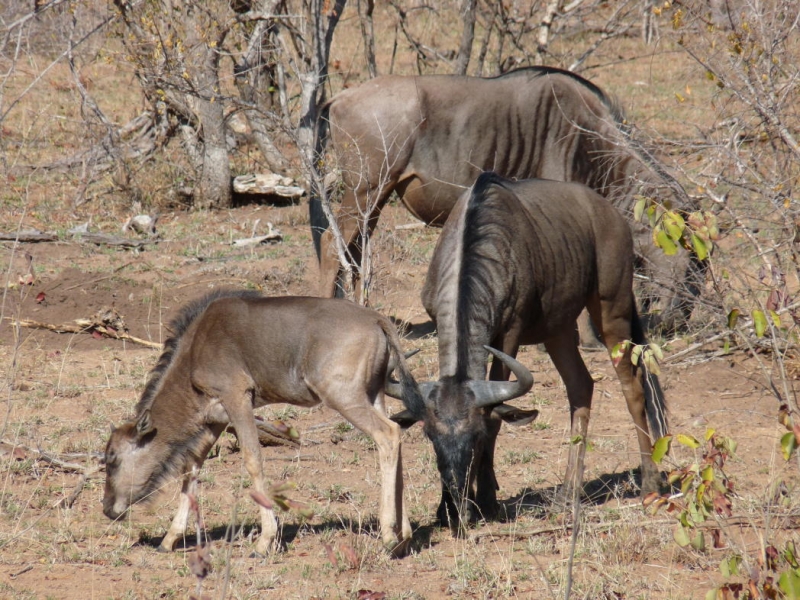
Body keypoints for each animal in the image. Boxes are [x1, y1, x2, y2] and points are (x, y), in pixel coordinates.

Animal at [103, 288, 418, 556]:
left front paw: (265, 540)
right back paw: (404, 535)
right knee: (397, 438)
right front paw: (169, 539)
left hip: (345, 397)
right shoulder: (215, 419)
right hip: (375, 394)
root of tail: (377, 319)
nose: (107, 509)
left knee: (388, 434)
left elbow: (253, 459)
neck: (195, 347)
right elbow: (191, 467)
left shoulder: (238, 399)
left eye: (113, 458)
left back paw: (388, 536)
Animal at [388, 172, 668, 528]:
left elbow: (496, 415)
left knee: (632, 389)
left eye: (476, 437)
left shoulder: (510, 334)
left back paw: (650, 483)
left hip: (611, 310)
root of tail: (611, 214)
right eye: (430, 436)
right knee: (581, 386)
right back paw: (567, 494)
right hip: (558, 330)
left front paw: (487, 501)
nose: (455, 508)